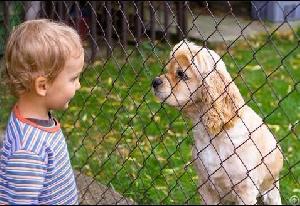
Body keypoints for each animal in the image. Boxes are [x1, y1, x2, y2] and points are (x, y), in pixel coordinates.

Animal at [152, 40, 284, 204]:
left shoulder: (245, 190)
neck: (213, 134)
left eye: (181, 74)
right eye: (167, 69)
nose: (155, 82)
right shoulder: (206, 186)